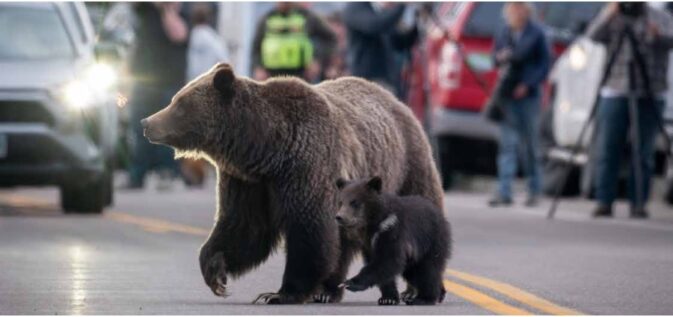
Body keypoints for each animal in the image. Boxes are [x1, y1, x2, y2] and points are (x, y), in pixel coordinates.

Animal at [141, 62, 444, 304]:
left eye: (179, 104)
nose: (147, 122)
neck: (265, 149)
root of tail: (397, 101)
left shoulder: (307, 169)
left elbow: (309, 232)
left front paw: (280, 293)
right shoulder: (248, 183)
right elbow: (243, 226)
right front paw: (215, 271)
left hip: (405, 168)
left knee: (421, 215)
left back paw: (421, 290)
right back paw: (329, 291)